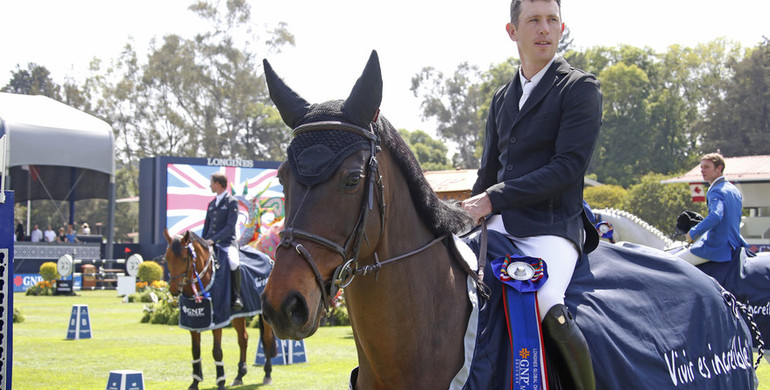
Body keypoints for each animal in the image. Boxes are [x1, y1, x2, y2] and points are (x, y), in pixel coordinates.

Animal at [162, 229, 276, 390]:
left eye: (184, 259)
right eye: (167, 258)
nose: (173, 290)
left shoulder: (218, 321)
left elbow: (217, 351)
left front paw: (221, 382)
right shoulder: (193, 322)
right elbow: (195, 351)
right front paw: (195, 382)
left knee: (266, 338)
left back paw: (267, 374)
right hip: (238, 315)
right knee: (243, 339)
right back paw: (239, 376)